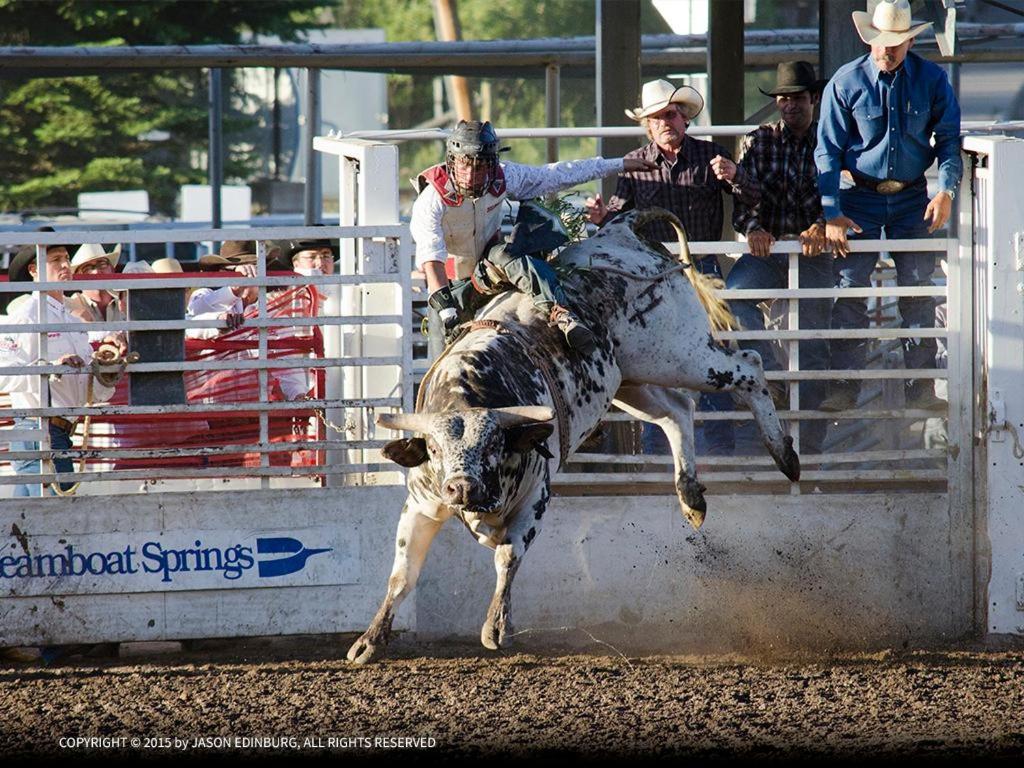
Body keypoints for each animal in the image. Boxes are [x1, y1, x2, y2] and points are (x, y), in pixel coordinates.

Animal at [348, 207, 794, 663]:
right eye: (434, 449)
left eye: (494, 444)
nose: (462, 488)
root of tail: (620, 232)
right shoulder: (421, 505)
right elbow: (402, 575)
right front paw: (369, 639)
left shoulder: (536, 497)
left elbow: (507, 556)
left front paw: (496, 627)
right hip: (631, 380)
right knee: (677, 412)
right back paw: (692, 499)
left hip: (680, 353)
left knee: (749, 366)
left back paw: (785, 456)